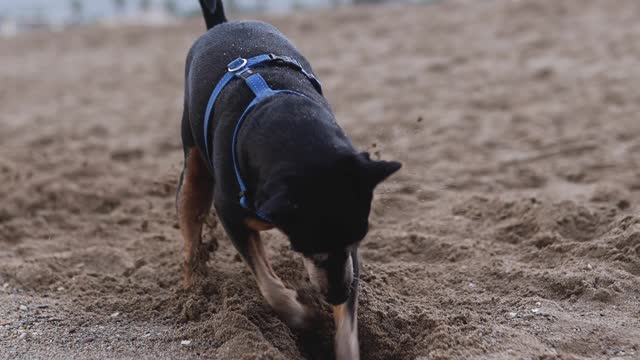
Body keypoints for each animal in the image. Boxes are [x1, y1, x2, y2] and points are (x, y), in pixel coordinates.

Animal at [176, 0, 400, 358]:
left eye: (358, 241)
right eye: (314, 251)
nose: (337, 295)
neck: (289, 121)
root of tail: (220, 25)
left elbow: (348, 324)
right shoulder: (231, 215)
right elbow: (269, 285)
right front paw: (302, 316)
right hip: (193, 164)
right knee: (190, 219)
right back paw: (193, 288)